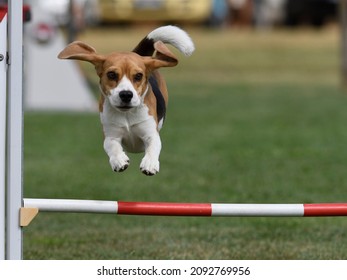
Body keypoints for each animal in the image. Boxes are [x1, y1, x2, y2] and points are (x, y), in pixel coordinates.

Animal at [59, 25, 196, 175]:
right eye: (111, 75)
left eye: (138, 76)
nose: (126, 94)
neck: (127, 115)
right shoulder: (110, 135)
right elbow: (112, 146)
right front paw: (119, 160)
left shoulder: (151, 133)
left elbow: (153, 146)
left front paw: (150, 163)